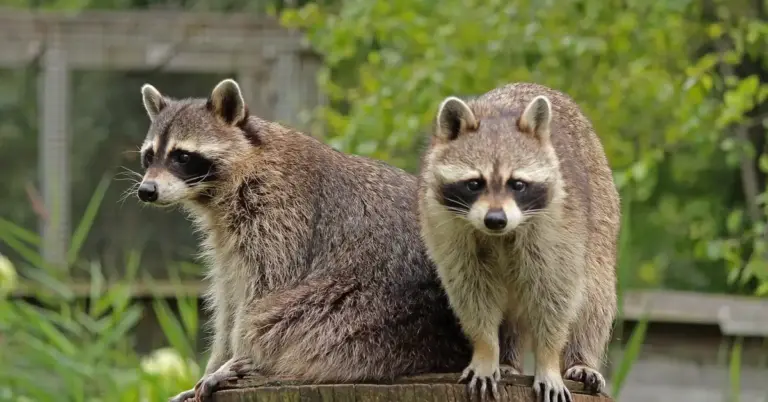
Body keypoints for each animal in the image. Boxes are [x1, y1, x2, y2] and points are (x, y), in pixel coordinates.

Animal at [135, 79, 489, 402]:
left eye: (182, 156)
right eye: (149, 156)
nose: (146, 190)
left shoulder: (282, 213)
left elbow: (264, 288)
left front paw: (236, 356)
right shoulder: (225, 239)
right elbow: (229, 296)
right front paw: (217, 359)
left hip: (369, 310)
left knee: (282, 317)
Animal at [418, 83, 620, 402]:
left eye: (518, 184)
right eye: (474, 183)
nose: (495, 220)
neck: (499, 235)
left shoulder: (558, 230)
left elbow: (555, 296)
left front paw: (548, 359)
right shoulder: (447, 229)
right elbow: (471, 293)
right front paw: (486, 350)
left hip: (602, 213)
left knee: (594, 297)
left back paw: (582, 358)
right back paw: (507, 361)